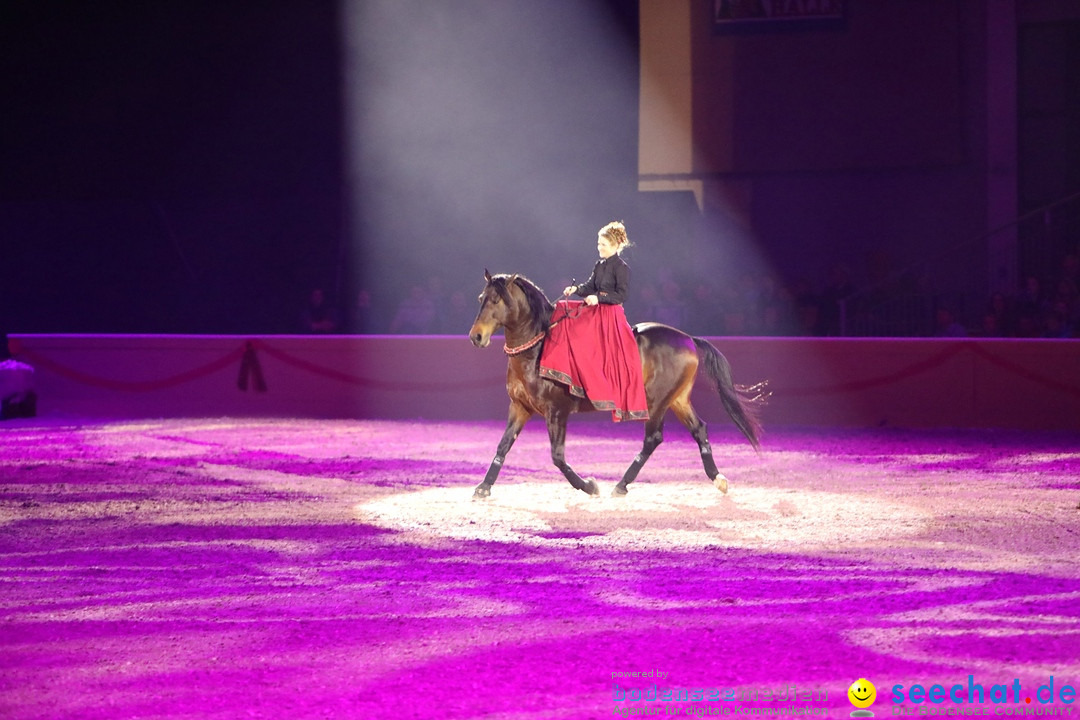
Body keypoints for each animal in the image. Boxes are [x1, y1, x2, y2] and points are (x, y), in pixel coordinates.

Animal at [468, 268, 764, 496]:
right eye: (482, 298)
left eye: (497, 300)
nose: (476, 337)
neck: (538, 347)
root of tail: (689, 338)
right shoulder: (520, 407)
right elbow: (503, 446)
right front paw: (483, 487)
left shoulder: (557, 411)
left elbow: (557, 457)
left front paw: (589, 486)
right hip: (677, 399)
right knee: (699, 429)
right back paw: (717, 478)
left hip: (656, 401)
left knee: (653, 439)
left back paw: (621, 484)